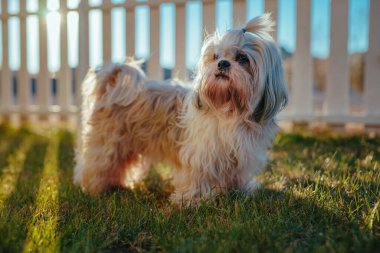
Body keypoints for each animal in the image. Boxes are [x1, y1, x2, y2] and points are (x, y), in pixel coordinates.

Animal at [74, 12, 288, 205]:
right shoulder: (202, 154)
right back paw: (95, 188)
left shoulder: (241, 154)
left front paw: (240, 191)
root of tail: (111, 85)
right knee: (96, 164)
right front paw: (194, 200)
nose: (222, 63)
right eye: (215, 56)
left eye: (243, 58)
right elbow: (198, 177)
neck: (230, 108)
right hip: (107, 144)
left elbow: (238, 174)